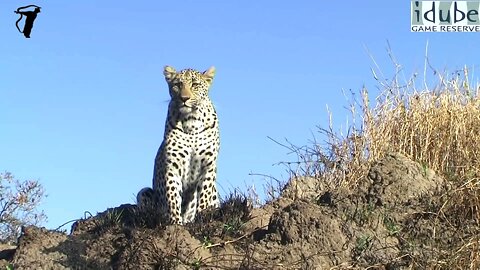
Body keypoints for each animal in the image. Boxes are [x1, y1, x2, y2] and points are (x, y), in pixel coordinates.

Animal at [137, 66, 221, 226]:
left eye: (195, 84)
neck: (192, 121)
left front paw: (202, 219)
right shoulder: (172, 166)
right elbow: (173, 196)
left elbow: (204, 195)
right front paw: (175, 223)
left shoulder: (208, 165)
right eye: (177, 85)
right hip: (143, 192)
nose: (184, 98)